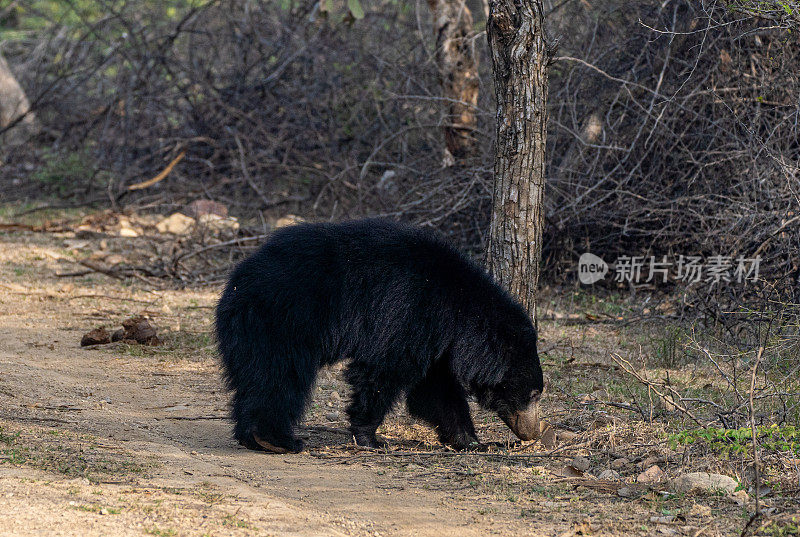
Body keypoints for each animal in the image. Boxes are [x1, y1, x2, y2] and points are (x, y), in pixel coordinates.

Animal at [216, 218, 548, 452]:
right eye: (532, 394)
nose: (533, 432)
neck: (460, 312)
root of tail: (236, 283)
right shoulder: (410, 314)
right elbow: (384, 371)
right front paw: (369, 437)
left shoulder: (436, 341)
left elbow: (436, 391)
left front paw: (473, 441)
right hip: (283, 322)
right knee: (280, 376)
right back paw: (276, 439)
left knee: (257, 377)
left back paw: (253, 438)